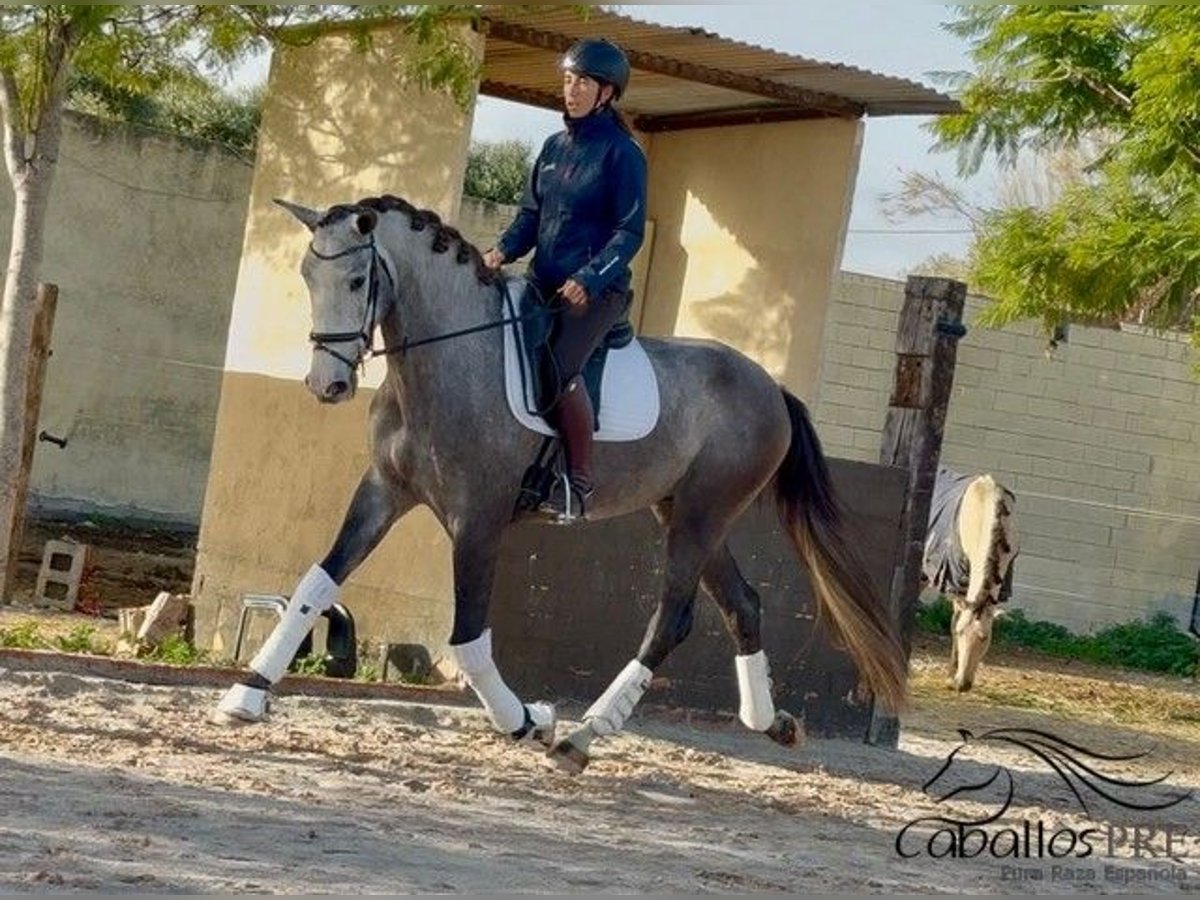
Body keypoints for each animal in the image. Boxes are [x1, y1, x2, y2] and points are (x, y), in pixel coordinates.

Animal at [213, 194, 907, 774]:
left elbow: (469, 639)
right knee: (744, 605)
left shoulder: (478, 519)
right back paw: (773, 723)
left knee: (672, 619)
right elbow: (317, 581)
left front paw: (529, 720)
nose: (325, 385)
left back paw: (581, 736)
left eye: (358, 281)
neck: (448, 360)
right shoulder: (384, 492)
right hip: (687, 513)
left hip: (700, 517)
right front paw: (247, 694)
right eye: (307, 276)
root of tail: (770, 387)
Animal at [922, 466, 1019, 692]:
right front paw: (950, 676)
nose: (962, 684)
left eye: (984, 638)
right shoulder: (956, 582)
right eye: (959, 634)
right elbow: (954, 619)